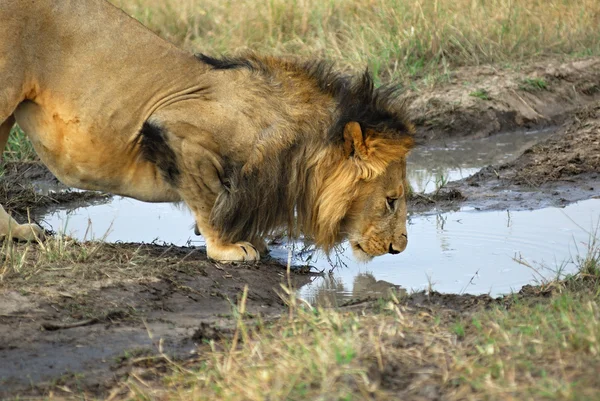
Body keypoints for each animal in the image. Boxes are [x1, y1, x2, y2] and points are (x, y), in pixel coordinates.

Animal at [0, 0, 412, 260]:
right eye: (391, 201)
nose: (399, 249)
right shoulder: (175, 130)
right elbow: (209, 201)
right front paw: (228, 248)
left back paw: (18, 234)